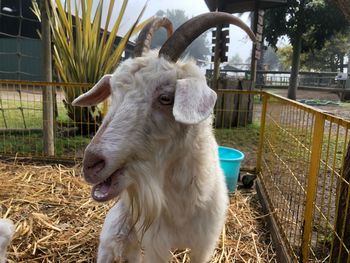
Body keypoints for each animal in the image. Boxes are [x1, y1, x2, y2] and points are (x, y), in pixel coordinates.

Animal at [74, 11, 254, 262]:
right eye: (113, 92)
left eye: (166, 98)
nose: (91, 164)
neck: (182, 208)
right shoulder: (155, 245)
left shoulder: (204, 245)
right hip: (118, 232)